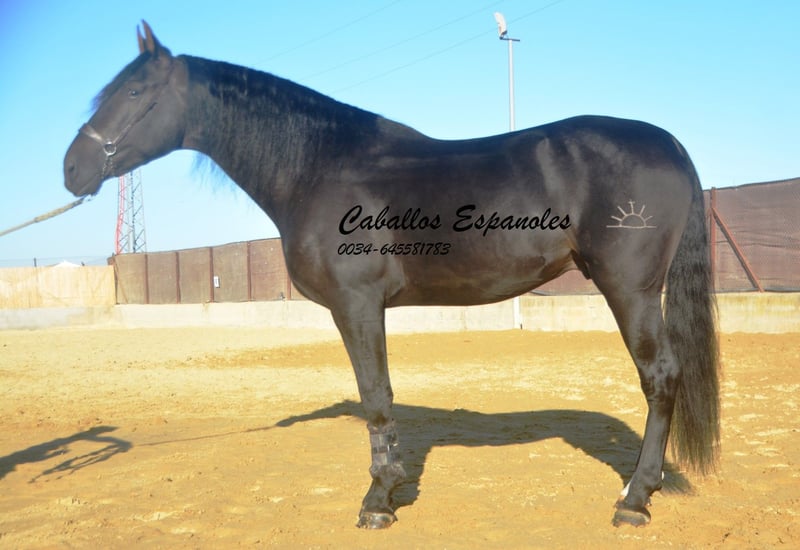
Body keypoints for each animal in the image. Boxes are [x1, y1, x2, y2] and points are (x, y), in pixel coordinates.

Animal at [64, 22, 719, 529]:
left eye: (135, 90)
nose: (72, 169)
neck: (321, 167)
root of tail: (666, 142)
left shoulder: (356, 304)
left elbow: (376, 396)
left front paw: (379, 499)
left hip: (630, 289)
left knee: (660, 378)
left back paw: (635, 499)